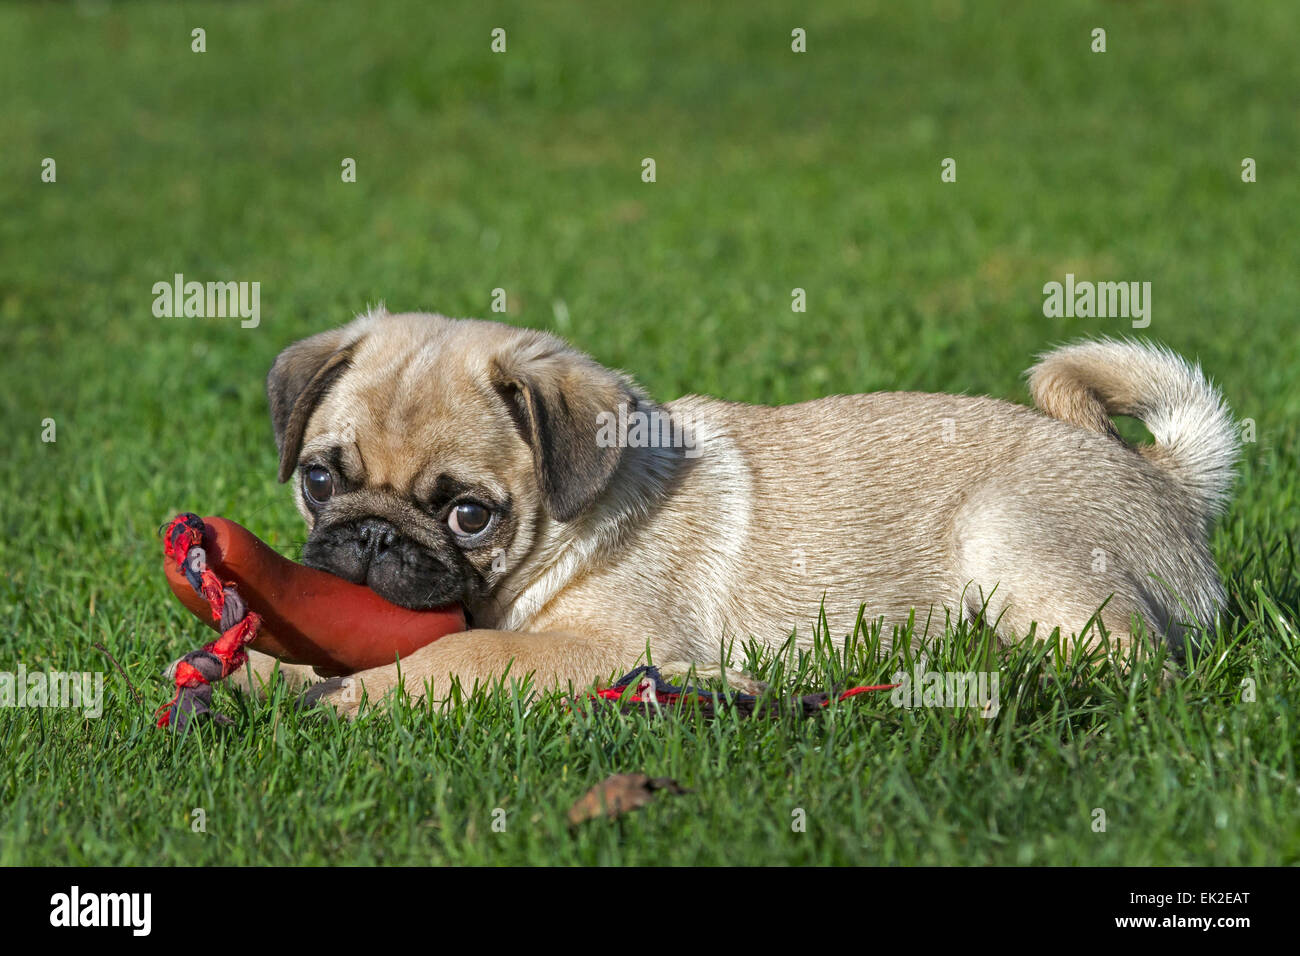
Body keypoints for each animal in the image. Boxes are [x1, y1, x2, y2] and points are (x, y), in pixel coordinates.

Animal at [244, 308, 1237, 717]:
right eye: (320, 481)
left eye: (469, 517)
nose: (371, 536)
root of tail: (1163, 480)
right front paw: (258, 676)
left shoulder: (603, 648)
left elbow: (463, 654)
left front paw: (352, 694)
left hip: (1011, 539)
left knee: (1135, 669)